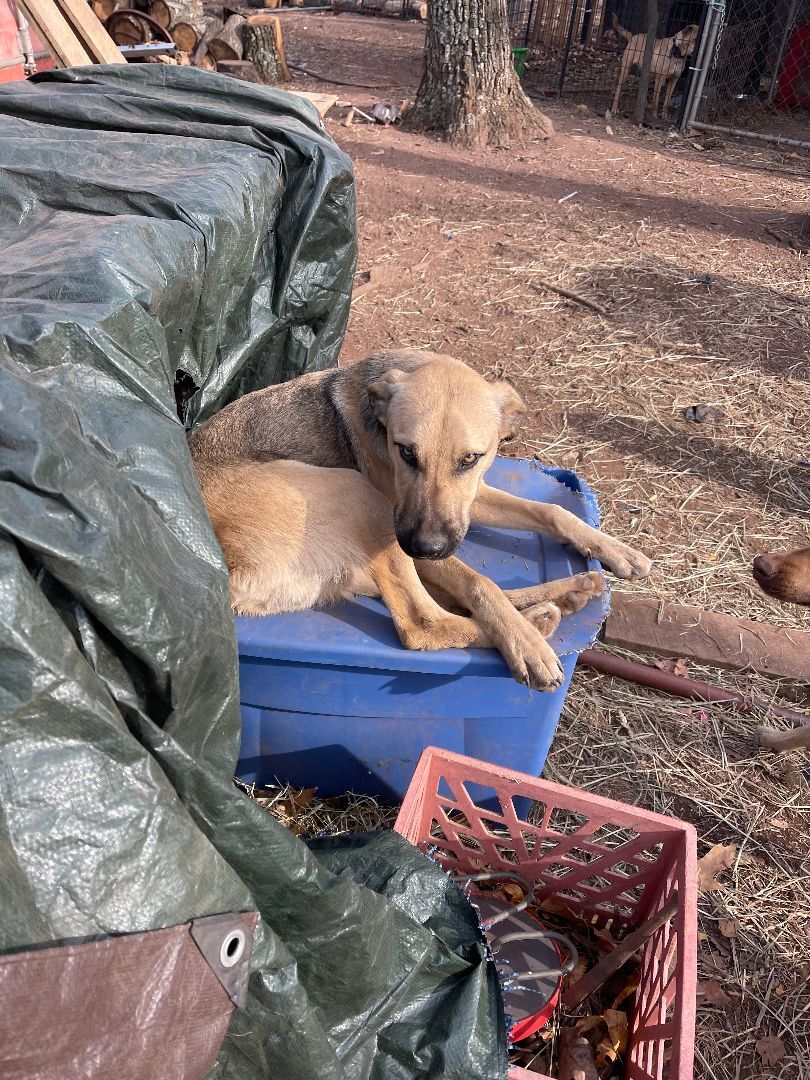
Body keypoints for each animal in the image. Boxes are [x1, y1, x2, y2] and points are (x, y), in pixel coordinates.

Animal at [190, 352, 652, 691]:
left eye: (471, 458)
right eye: (406, 452)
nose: (425, 546)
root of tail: (227, 565)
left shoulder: (467, 502)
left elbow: (550, 511)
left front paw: (615, 549)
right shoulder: (409, 530)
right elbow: (477, 583)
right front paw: (523, 644)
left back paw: (569, 595)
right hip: (360, 497)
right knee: (422, 624)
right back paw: (536, 627)